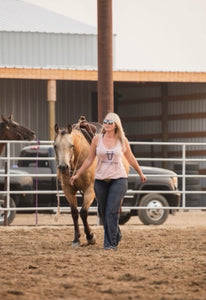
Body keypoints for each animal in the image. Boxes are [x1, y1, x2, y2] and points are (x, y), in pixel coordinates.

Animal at [53, 117, 101, 246]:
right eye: (55, 146)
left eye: (71, 145)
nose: (63, 167)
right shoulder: (68, 190)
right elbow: (74, 213)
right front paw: (76, 238)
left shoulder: (90, 189)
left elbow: (83, 212)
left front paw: (90, 236)